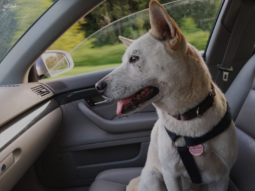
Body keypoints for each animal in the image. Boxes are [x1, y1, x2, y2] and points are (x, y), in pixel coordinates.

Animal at [95, 0, 237, 190]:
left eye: (134, 59)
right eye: (124, 60)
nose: (98, 86)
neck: (189, 120)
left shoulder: (221, 178)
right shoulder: (171, 174)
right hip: (153, 176)